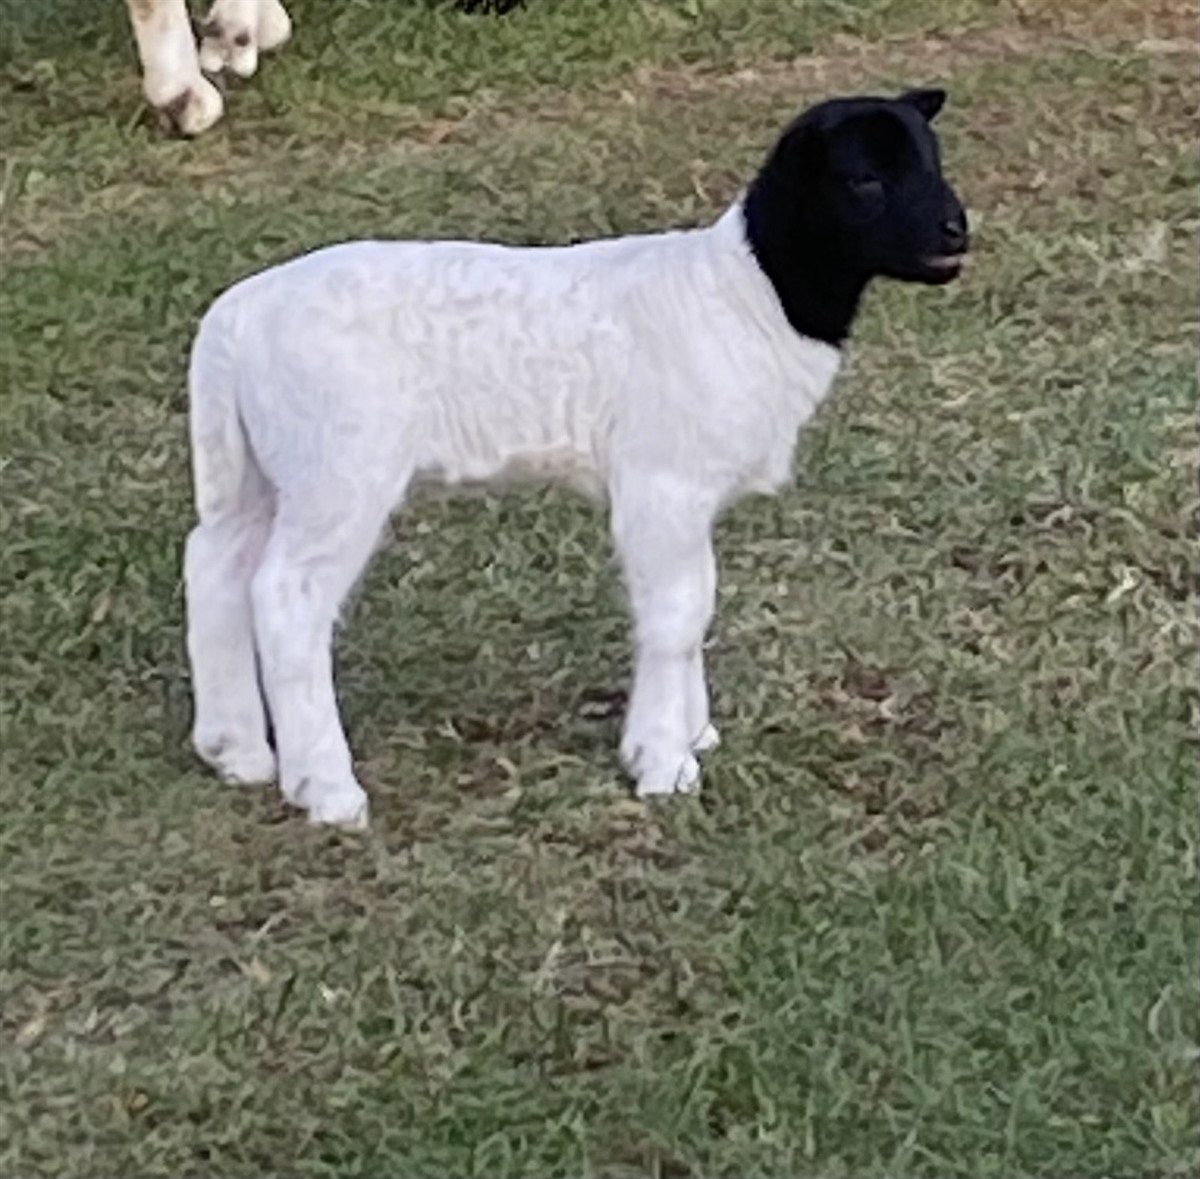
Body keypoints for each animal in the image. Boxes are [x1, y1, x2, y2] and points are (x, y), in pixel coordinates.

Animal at [183, 87, 970, 828]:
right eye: (863, 179)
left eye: (933, 160)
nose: (958, 229)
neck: (752, 296)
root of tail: (233, 319)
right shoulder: (661, 483)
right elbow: (675, 616)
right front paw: (662, 760)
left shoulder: (688, 492)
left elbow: (697, 603)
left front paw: (695, 732)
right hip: (338, 465)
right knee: (287, 596)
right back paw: (325, 788)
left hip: (259, 469)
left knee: (216, 567)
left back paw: (235, 750)